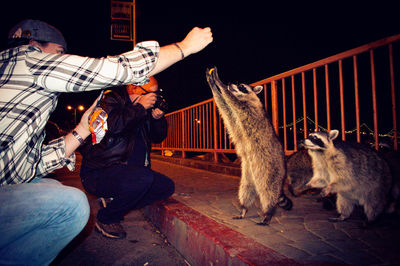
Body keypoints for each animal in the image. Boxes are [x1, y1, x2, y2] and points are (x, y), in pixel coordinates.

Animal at [205, 67, 292, 225]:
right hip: (248, 177)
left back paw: (269, 213)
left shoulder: (247, 109)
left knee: (269, 193)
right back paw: (244, 209)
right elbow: (225, 109)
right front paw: (212, 84)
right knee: (245, 191)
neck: (246, 97)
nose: (230, 84)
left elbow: (232, 101)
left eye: (241, 86)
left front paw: (219, 82)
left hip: (270, 173)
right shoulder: (235, 119)